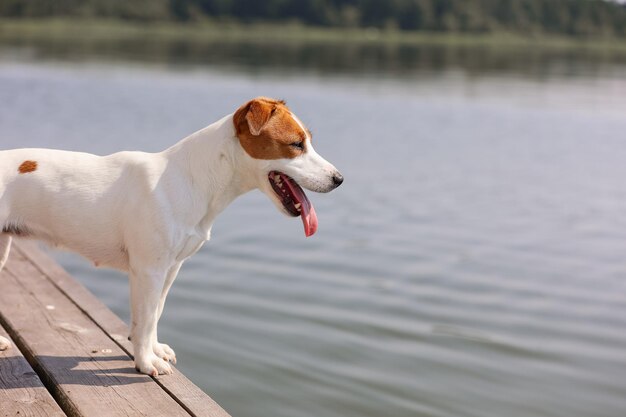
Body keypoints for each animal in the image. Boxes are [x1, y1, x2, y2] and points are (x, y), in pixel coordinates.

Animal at [0, 97, 342, 374]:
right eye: (296, 144)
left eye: (308, 141)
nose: (339, 179)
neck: (192, 180)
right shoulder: (148, 269)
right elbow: (144, 318)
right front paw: (145, 363)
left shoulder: (170, 268)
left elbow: (154, 315)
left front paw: (154, 351)